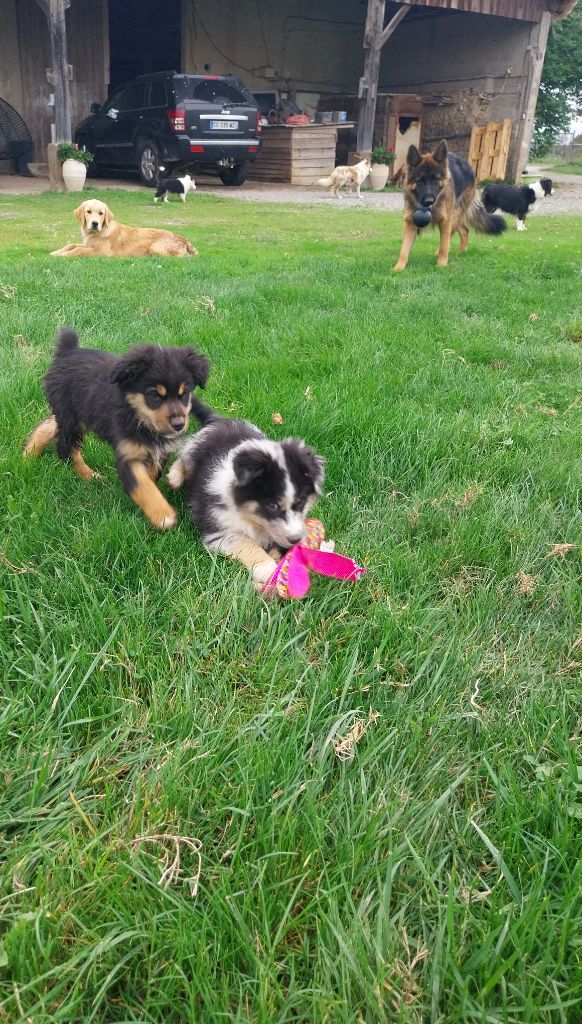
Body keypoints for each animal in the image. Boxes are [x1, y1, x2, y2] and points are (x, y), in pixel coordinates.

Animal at [23, 327, 210, 530]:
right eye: (154, 395)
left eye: (184, 394)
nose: (178, 425)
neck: (139, 418)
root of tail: (68, 351)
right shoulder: (127, 455)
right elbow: (142, 485)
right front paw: (162, 514)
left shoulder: (160, 450)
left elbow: (152, 475)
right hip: (72, 417)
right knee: (66, 448)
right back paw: (88, 475)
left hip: (78, 414)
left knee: (49, 426)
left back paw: (28, 455)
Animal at [50, 200, 198, 257]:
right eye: (88, 211)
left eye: (101, 213)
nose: (95, 223)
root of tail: (182, 238)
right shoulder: (87, 244)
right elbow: (71, 245)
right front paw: (56, 252)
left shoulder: (102, 252)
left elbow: (78, 250)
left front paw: (63, 255)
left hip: (156, 248)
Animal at [167, 398, 325, 588]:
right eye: (272, 505)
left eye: (301, 502)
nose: (296, 539)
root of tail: (219, 420)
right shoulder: (219, 530)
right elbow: (244, 541)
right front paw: (266, 568)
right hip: (193, 452)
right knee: (182, 457)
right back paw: (174, 478)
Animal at [393, 139, 506, 271]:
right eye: (420, 181)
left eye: (435, 180)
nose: (429, 201)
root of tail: (467, 165)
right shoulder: (410, 223)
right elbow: (404, 250)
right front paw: (398, 268)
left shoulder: (445, 221)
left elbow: (444, 245)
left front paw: (441, 265)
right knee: (464, 230)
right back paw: (461, 251)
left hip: (454, 216)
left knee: (451, 236)